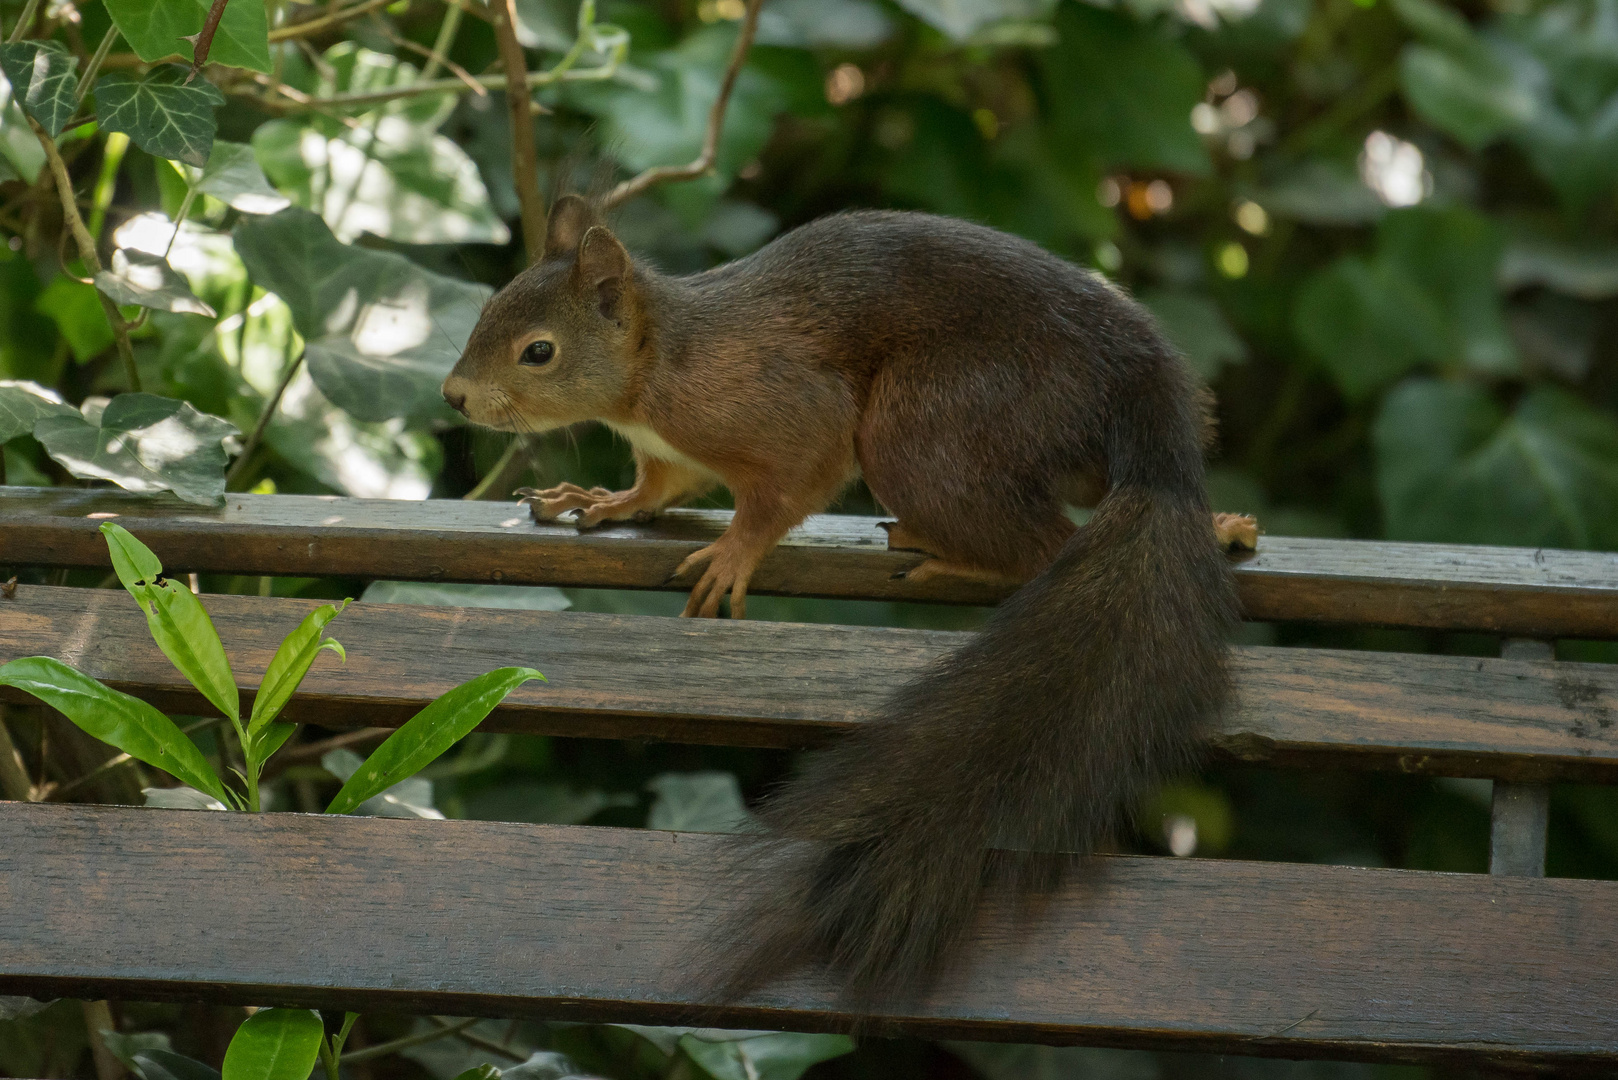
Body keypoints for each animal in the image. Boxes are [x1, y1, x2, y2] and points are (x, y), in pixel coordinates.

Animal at [443, 191, 1262, 997]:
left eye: (539, 351)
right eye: (487, 310)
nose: (453, 396)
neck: (657, 366)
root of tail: (1142, 406)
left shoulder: (780, 410)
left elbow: (786, 486)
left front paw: (733, 554)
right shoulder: (670, 456)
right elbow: (655, 488)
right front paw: (598, 499)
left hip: (927, 428)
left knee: (1046, 545)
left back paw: (952, 559)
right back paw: (1221, 524)